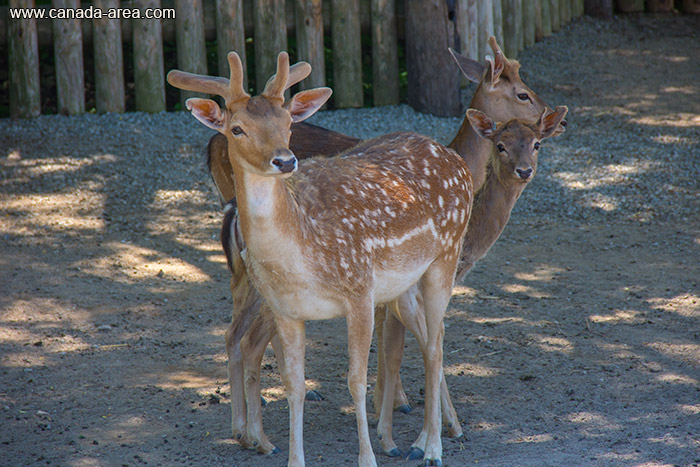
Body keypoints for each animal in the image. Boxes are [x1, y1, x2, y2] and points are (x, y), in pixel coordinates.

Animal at [167, 49, 474, 466]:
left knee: (437, 344)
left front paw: (368, 458)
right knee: (430, 337)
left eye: (288, 124)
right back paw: (423, 439)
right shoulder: (285, 310)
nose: (285, 160)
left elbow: (356, 380)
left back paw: (432, 449)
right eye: (238, 128)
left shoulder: (359, 291)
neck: (302, 259)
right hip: (404, 283)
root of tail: (457, 160)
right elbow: (293, 384)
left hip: (447, 254)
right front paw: (294, 458)